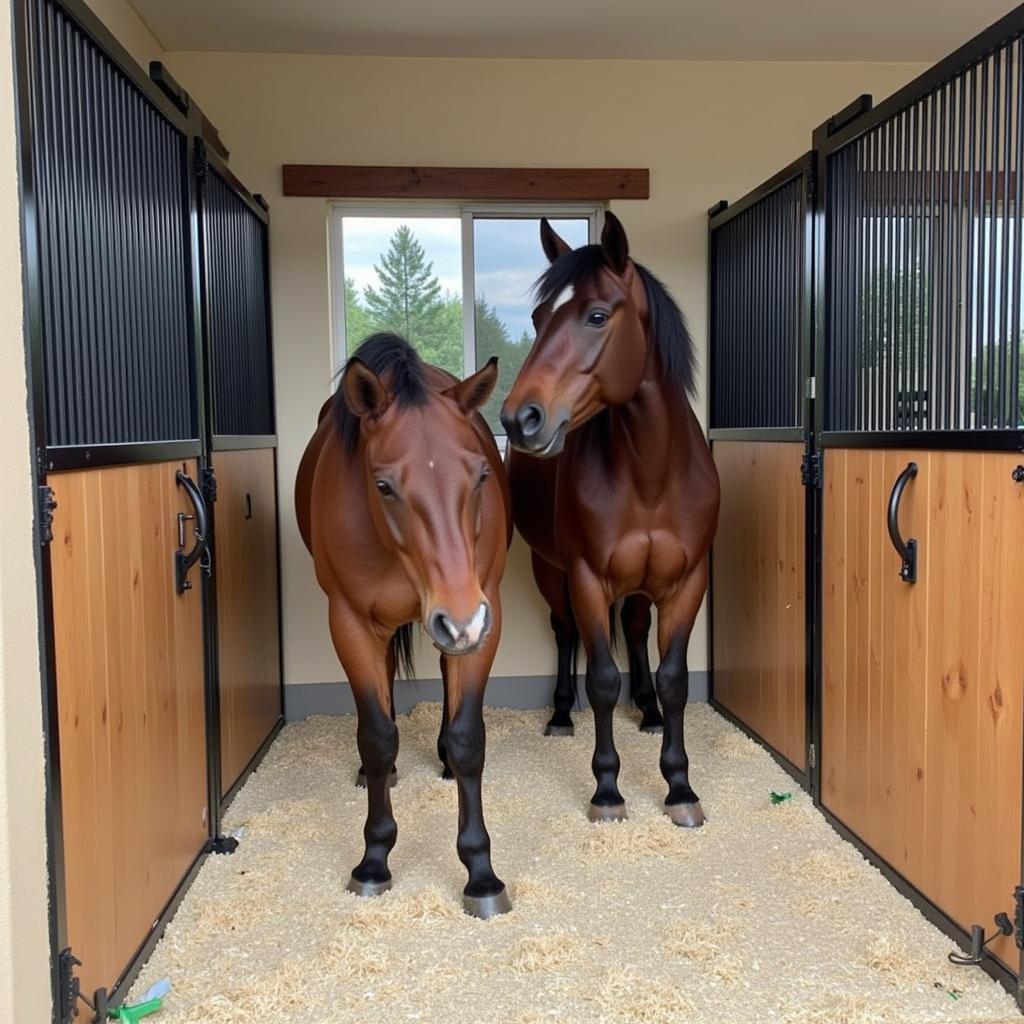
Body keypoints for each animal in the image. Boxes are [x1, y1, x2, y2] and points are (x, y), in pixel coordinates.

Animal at [296, 331, 512, 917]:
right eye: (384, 485)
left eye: (481, 475)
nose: (461, 620)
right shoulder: (349, 622)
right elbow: (377, 736)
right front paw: (374, 858)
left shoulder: (485, 615)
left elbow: (468, 738)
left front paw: (481, 873)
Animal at [503, 211, 720, 827]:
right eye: (537, 318)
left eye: (597, 315)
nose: (521, 418)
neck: (651, 473)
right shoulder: (586, 578)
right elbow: (600, 678)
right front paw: (607, 790)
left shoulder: (687, 580)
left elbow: (674, 679)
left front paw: (679, 786)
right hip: (548, 570)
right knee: (564, 632)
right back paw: (559, 715)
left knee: (638, 627)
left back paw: (646, 710)